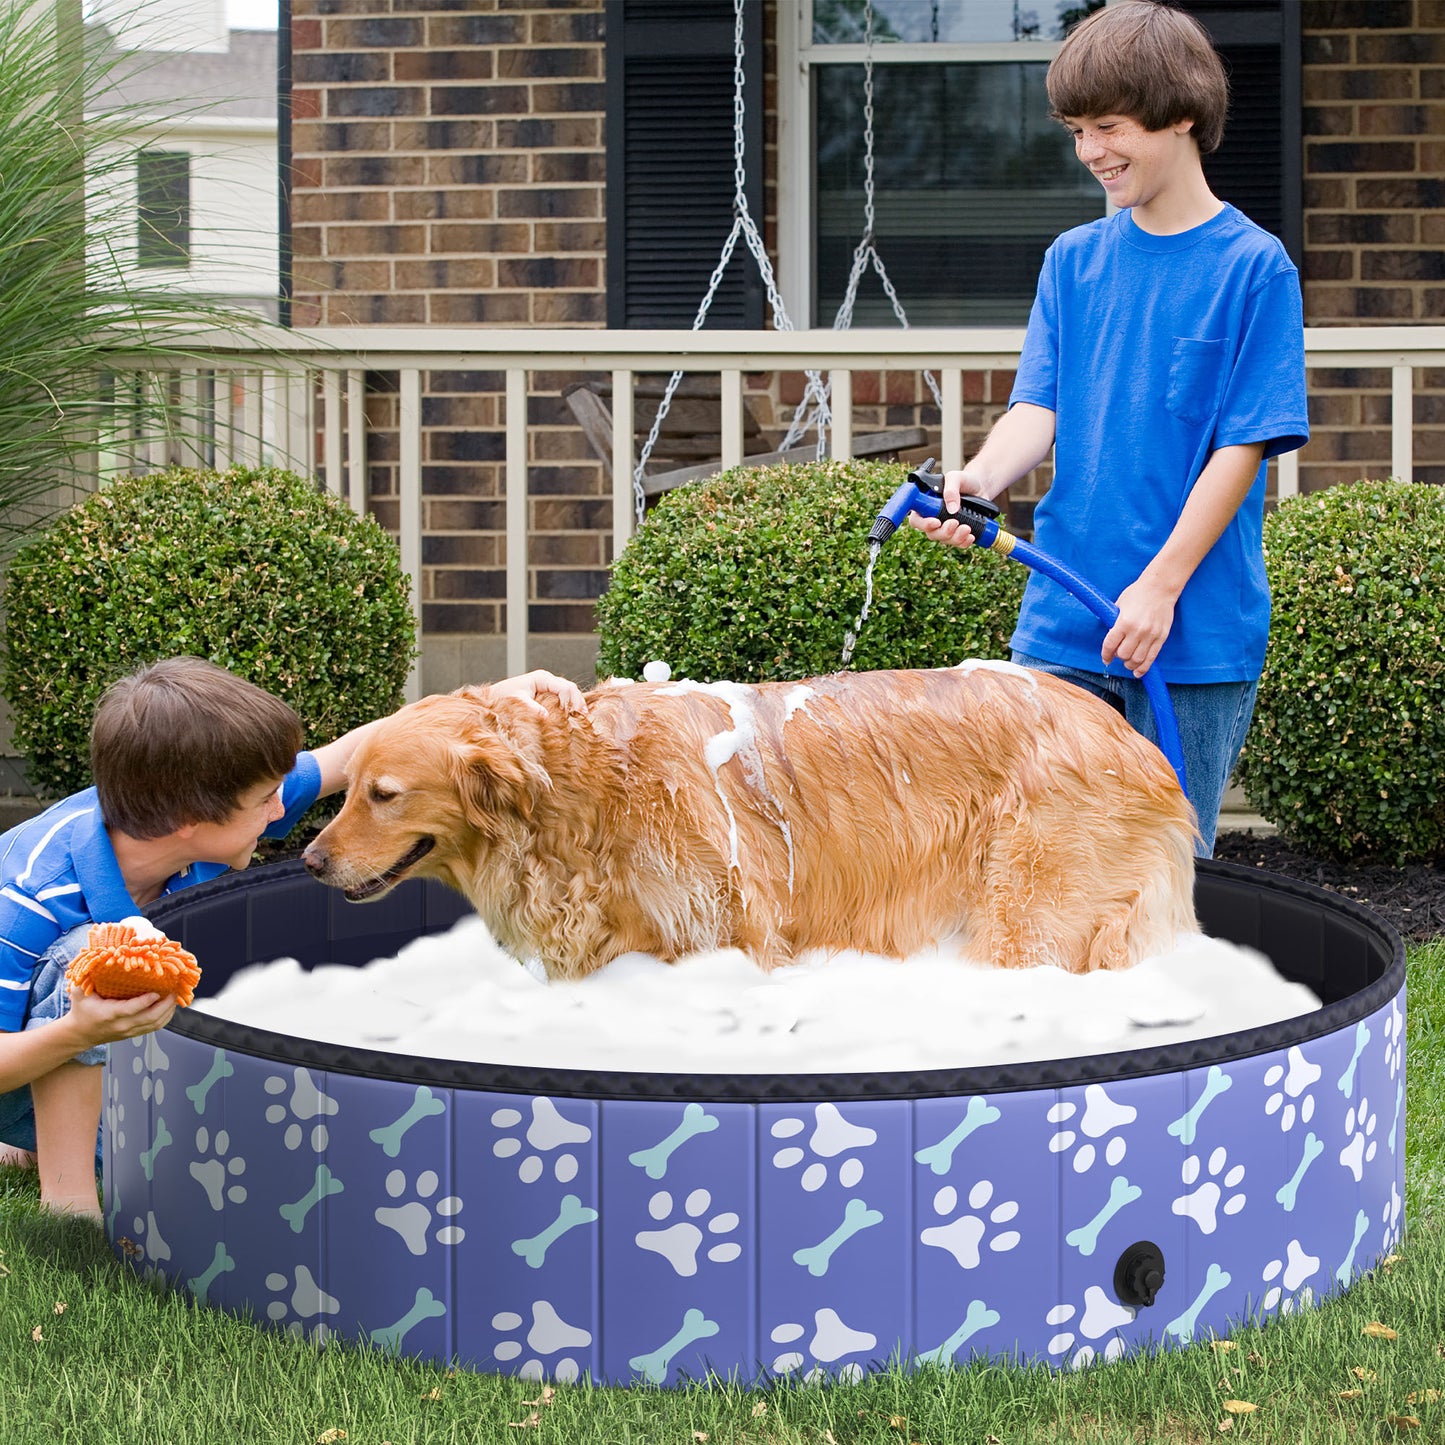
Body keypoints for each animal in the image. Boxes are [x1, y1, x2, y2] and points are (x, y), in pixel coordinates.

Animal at [304, 664, 1196, 982]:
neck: (589, 787)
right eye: (348, 791)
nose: (309, 860)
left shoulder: (731, 934)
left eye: (383, 793)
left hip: (1031, 915)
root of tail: (1136, 742)